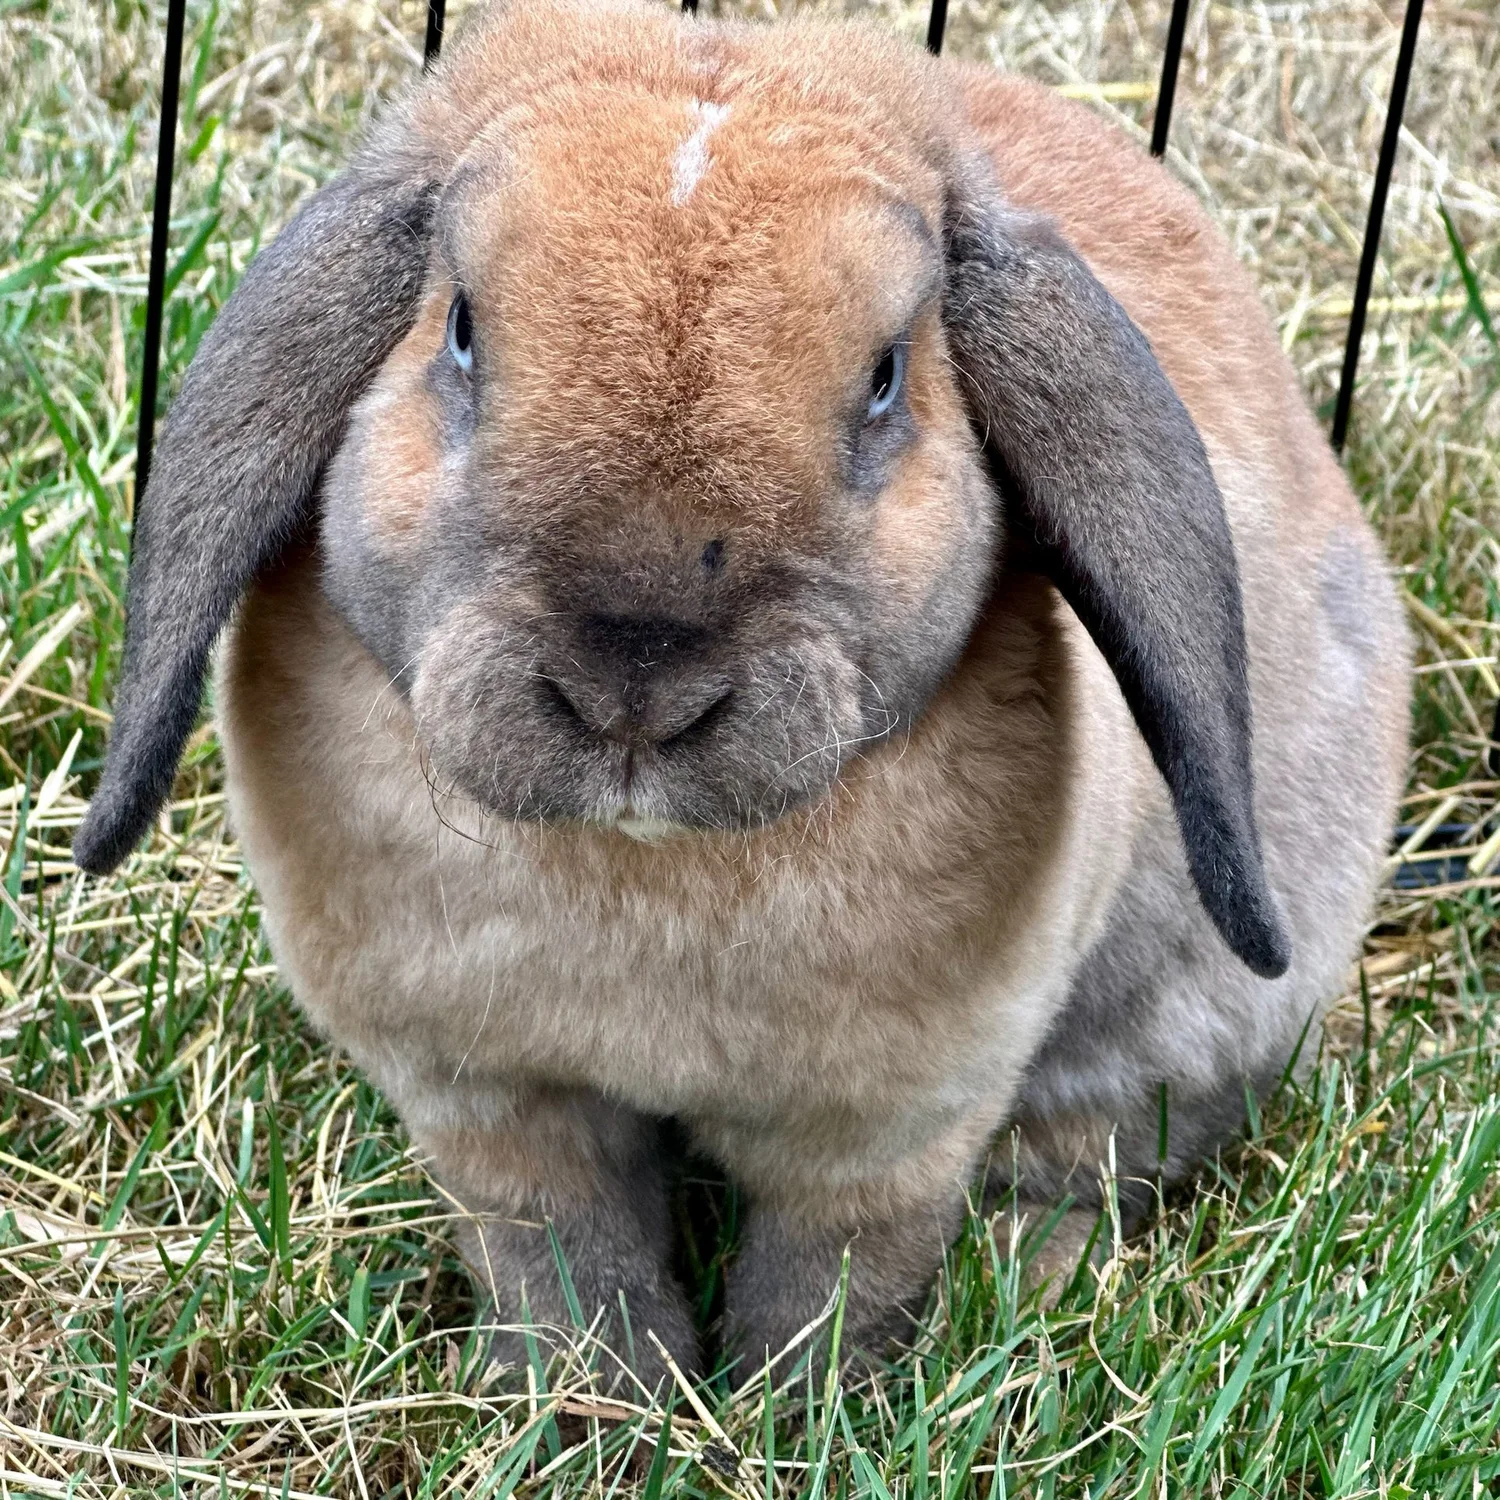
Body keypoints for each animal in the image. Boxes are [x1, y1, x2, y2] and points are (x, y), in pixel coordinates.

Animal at [75, 0, 1410, 1382]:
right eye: (461, 329)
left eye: (885, 378)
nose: (634, 687)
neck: (642, 880)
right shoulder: (493, 1108)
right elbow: (565, 1259)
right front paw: (594, 1403)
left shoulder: (889, 1138)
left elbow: (831, 1290)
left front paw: (787, 1412)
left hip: (1177, 1035)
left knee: (1088, 1159)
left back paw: (1036, 1282)